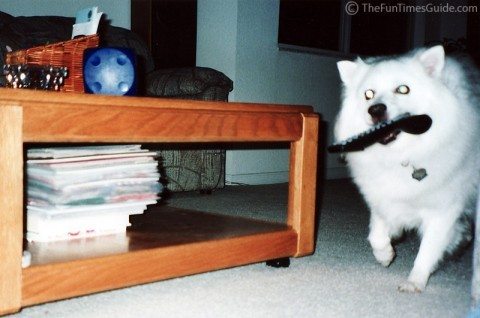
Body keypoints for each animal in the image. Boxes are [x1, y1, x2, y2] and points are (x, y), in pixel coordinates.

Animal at [334, 46, 480, 292]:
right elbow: (376, 233)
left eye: (403, 89)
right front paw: (385, 255)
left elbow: (427, 250)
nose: (375, 109)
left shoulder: (443, 211)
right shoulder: (383, 198)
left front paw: (414, 282)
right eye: (368, 94)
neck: (403, 156)